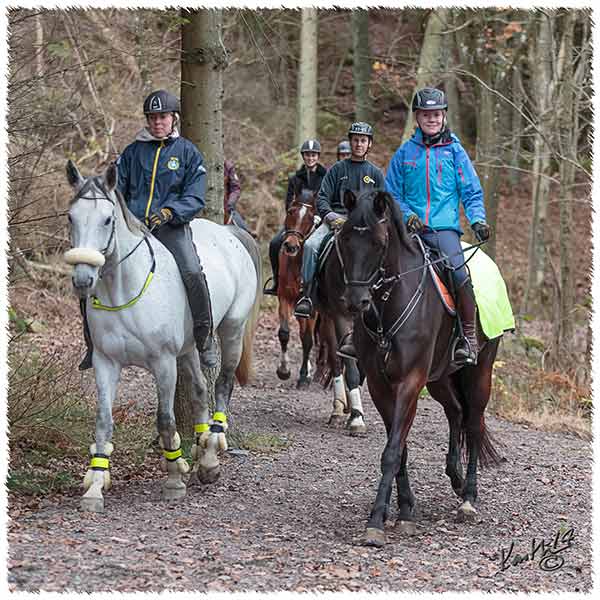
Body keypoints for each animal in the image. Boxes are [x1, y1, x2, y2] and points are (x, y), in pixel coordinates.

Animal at [338, 189, 502, 548]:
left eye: (379, 243)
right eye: (344, 239)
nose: (356, 302)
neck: (388, 305)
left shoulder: (410, 382)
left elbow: (392, 450)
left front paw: (376, 522)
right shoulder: (381, 385)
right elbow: (398, 449)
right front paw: (404, 510)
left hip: (479, 373)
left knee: (473, 423)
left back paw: (468, 498)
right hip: (440, 378)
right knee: (455, 412)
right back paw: (455, 477)